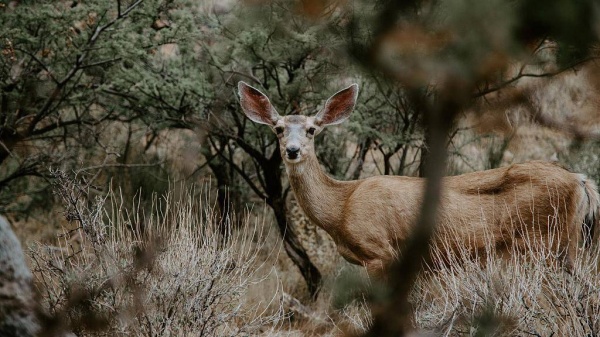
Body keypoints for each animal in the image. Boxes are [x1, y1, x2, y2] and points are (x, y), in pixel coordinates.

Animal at [238, 81, 600, 276]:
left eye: (312, 129)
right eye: (278, 128)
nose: (293, 150)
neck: (341, 206)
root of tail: (581, 181)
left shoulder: (378, 251)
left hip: (546, 242)